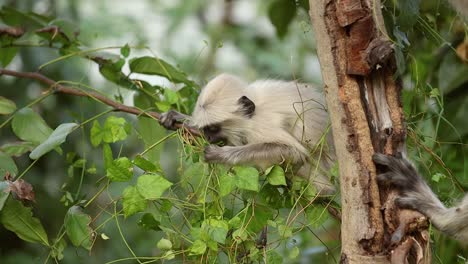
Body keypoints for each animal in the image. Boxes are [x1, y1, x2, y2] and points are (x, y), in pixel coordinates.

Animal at [161, 73, 336, 194]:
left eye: (213, 129)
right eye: (206, 130)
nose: (208, 137)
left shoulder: (258, 125)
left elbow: (296, 152)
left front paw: (220, 154)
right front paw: (178, 118)